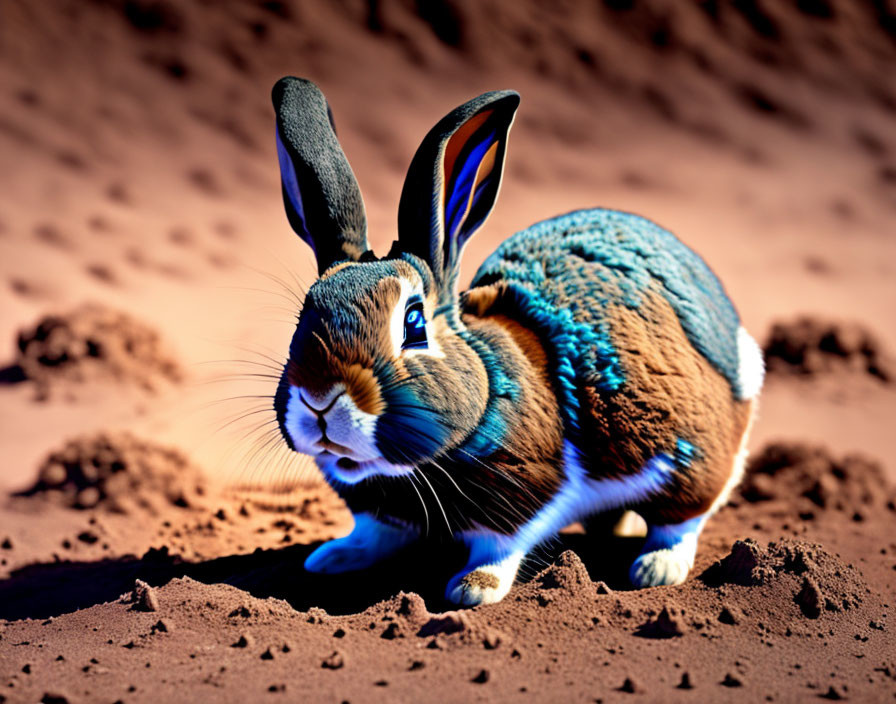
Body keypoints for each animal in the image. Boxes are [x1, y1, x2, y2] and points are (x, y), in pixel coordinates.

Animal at [272, 75, 764, 604]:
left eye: (415, 322)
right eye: (303, 317)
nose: (319, 400)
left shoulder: (525, 494)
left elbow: (500, 547)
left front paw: (472, 589)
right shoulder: (378, 509)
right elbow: (373, 533)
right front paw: (332, 557)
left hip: (691, 457)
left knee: (684, 516)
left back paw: (656, 567)